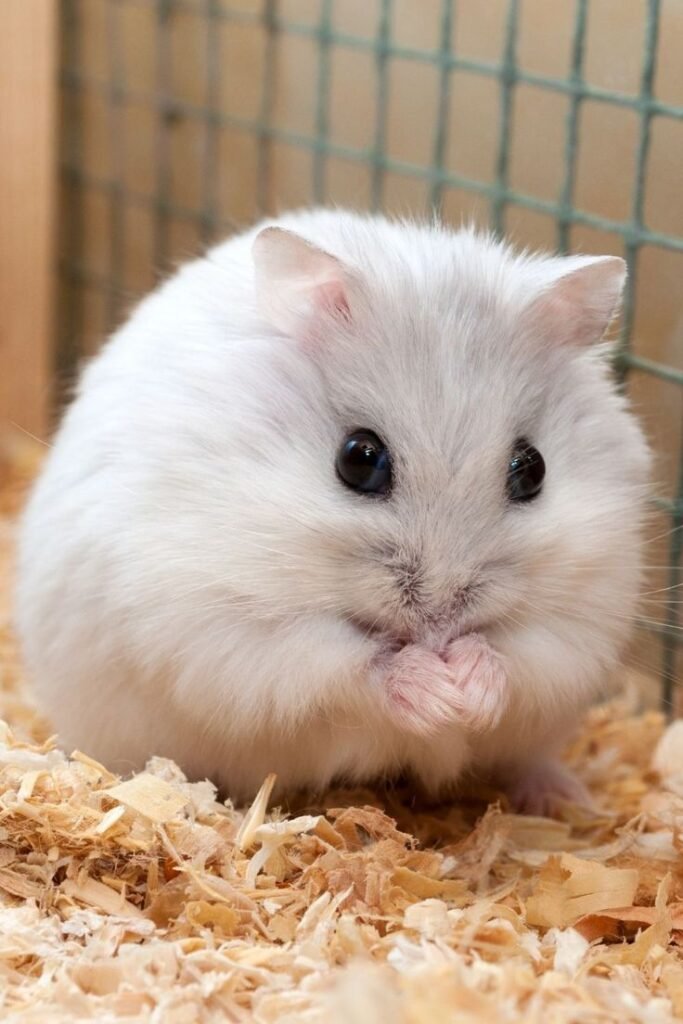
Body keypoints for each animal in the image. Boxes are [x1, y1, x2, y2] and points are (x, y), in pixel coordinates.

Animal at [15, 209, 650, 813]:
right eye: (359, 459)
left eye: (533, 469)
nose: (440, 624)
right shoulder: (226, 626)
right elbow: (347, 665)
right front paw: (436, 693)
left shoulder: (583, 619)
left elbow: (521, 656)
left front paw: (467, 689)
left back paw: (565, 799)